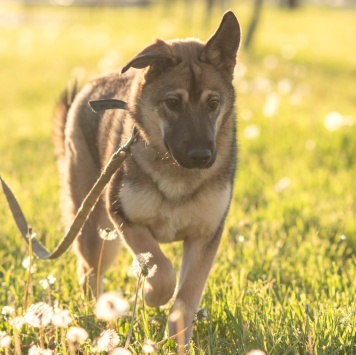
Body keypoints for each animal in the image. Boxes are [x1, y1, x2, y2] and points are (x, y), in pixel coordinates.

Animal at [52, 11, 241, 344]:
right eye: (173, 103)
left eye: (213, 103)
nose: (202, 156)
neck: (177, 174)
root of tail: (93, 85)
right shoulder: (125, 217)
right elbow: (162, 269)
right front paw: (152, 295)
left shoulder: (204, 237)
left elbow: (184, 300)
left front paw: (178, 343)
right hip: (97, 231)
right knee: (89, 271)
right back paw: (98, 318)